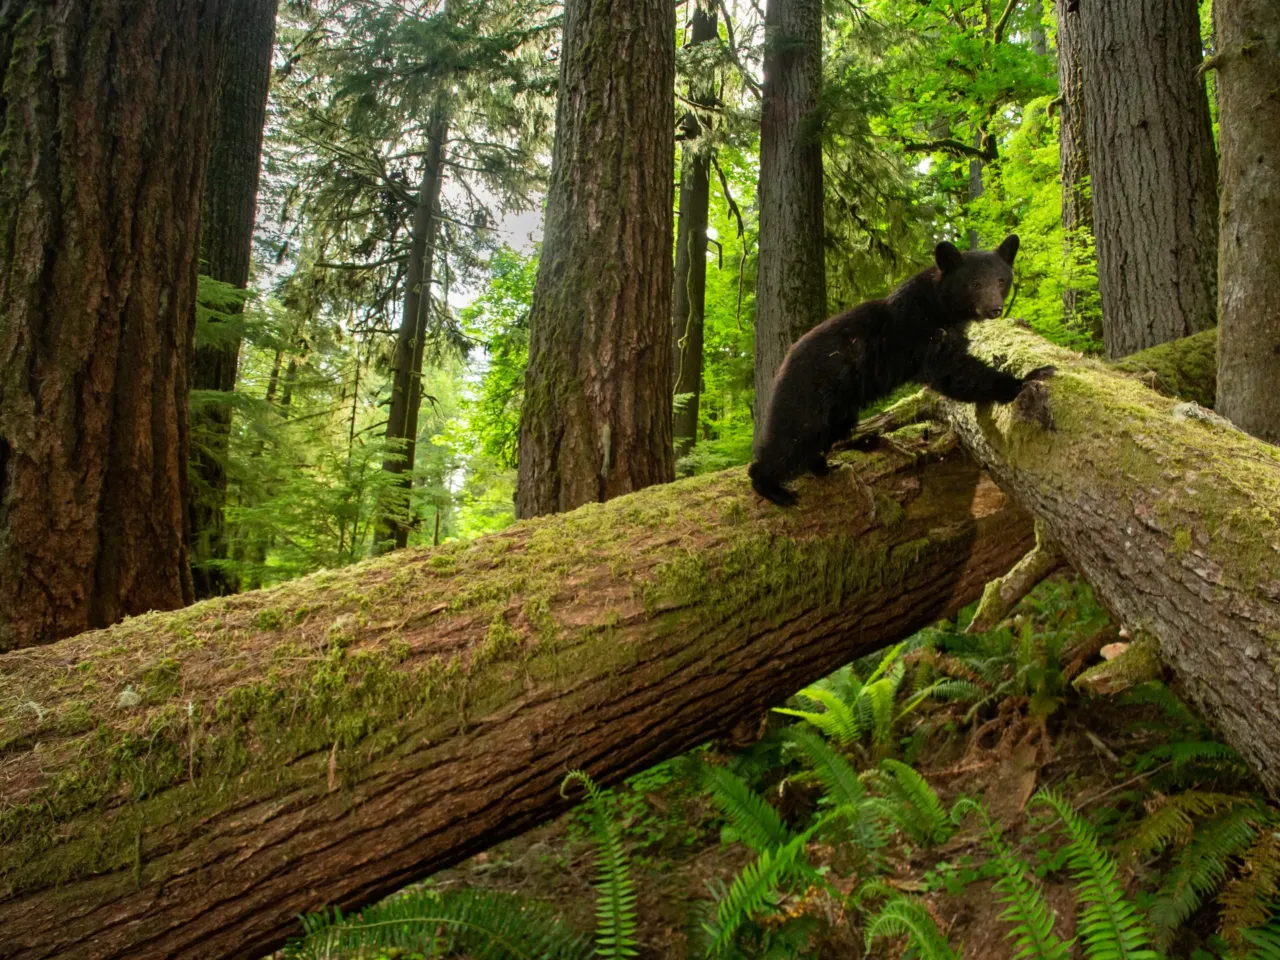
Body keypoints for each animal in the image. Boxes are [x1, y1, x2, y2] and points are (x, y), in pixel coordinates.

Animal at [748, 234, 1055, 507]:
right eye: (974, 283)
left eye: (1001, 280)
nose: (994, 308)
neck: (939, 305)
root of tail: (783, 364)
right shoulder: (920, 332)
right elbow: (952, 372)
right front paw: (1029, 377)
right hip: (810, 391)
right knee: (793, 435)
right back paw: (773, 488)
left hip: (841, 408)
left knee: (822, 434)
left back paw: (822, 466)